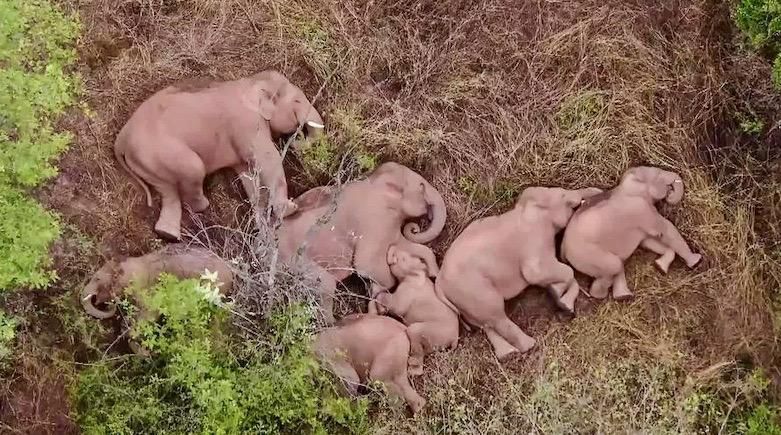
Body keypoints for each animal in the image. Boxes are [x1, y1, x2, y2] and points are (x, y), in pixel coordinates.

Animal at [114, 70, 325, 241]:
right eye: (297, 102)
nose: (296, 140)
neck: (250, 81)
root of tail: (121, 139)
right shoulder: (247, 123)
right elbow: (267, 158)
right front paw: (290, 209)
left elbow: (248, 174)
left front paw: (263, 228)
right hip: (162, 152)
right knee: (193, 170)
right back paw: (202, 206)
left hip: (148, 162)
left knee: (168, 191)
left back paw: (167, 235)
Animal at [277, 162, 447, 322]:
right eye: (422, 186)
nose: (415, 228)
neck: (373, 179)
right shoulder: (374, 219)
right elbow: (366, 265)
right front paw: (379, 299)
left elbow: (404, 245)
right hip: (295, 261)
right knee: (325, 285)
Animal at [375, 244, 459, 376]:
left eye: (403, 258)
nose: (391, 248)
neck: (416, 275)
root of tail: (455, 338)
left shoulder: (408, 290)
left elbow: (397, 307)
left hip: (433, 331)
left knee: (415, 334)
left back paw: (412, 367)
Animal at [434, 186, 603, 361]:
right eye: (563, 194)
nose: (598, 191)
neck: (525, 209)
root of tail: (439, 283)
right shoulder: (535, 239)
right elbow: (539, 273)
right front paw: (559, 296)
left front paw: (560, 299)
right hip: (474, 290)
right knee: (496, 316)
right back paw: (529, 345)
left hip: (465, 300)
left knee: (485, 323)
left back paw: (508, 353)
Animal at [561, 166, 702, 301]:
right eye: (658, 174)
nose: (670, 193)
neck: (625, 186)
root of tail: (563, 250)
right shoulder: (642, 209)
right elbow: (666, 230)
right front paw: (696, 261)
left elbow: (648, 241)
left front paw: (660, 267)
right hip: (588, 255)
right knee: (614, 266)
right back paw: (602, 295)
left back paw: (623, 296)